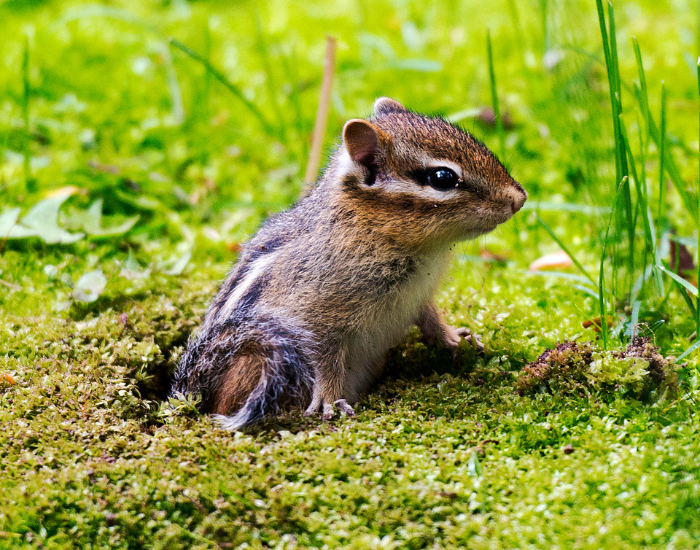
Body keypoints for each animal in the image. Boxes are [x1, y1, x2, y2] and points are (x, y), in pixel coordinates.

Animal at [171, 97, 527, 430]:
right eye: (442, 177)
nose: (519, 199)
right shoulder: (314, 317)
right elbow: (326, 361)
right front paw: (329, 400)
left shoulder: (419, 296)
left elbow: (430, 317)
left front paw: (455, 337)